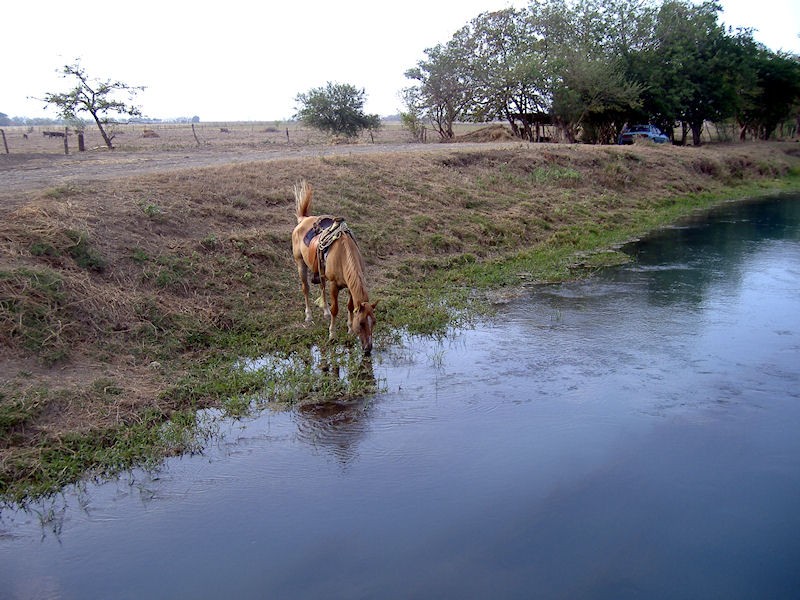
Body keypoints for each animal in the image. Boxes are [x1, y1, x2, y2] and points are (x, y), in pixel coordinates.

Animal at [290, 180, 378, 354]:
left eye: (374, 322)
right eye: (362, 323)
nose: (368, 349)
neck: (343, 255)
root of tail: (303, 220)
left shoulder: (349, 286)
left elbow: (350, 306)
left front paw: (349, 328)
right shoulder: (334, 285)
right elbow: (335, 309)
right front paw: (332, 334)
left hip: (320, 272)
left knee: (321, 287)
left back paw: (324, 310)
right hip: (300, 263)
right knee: (305, 288)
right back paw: (309, 315)